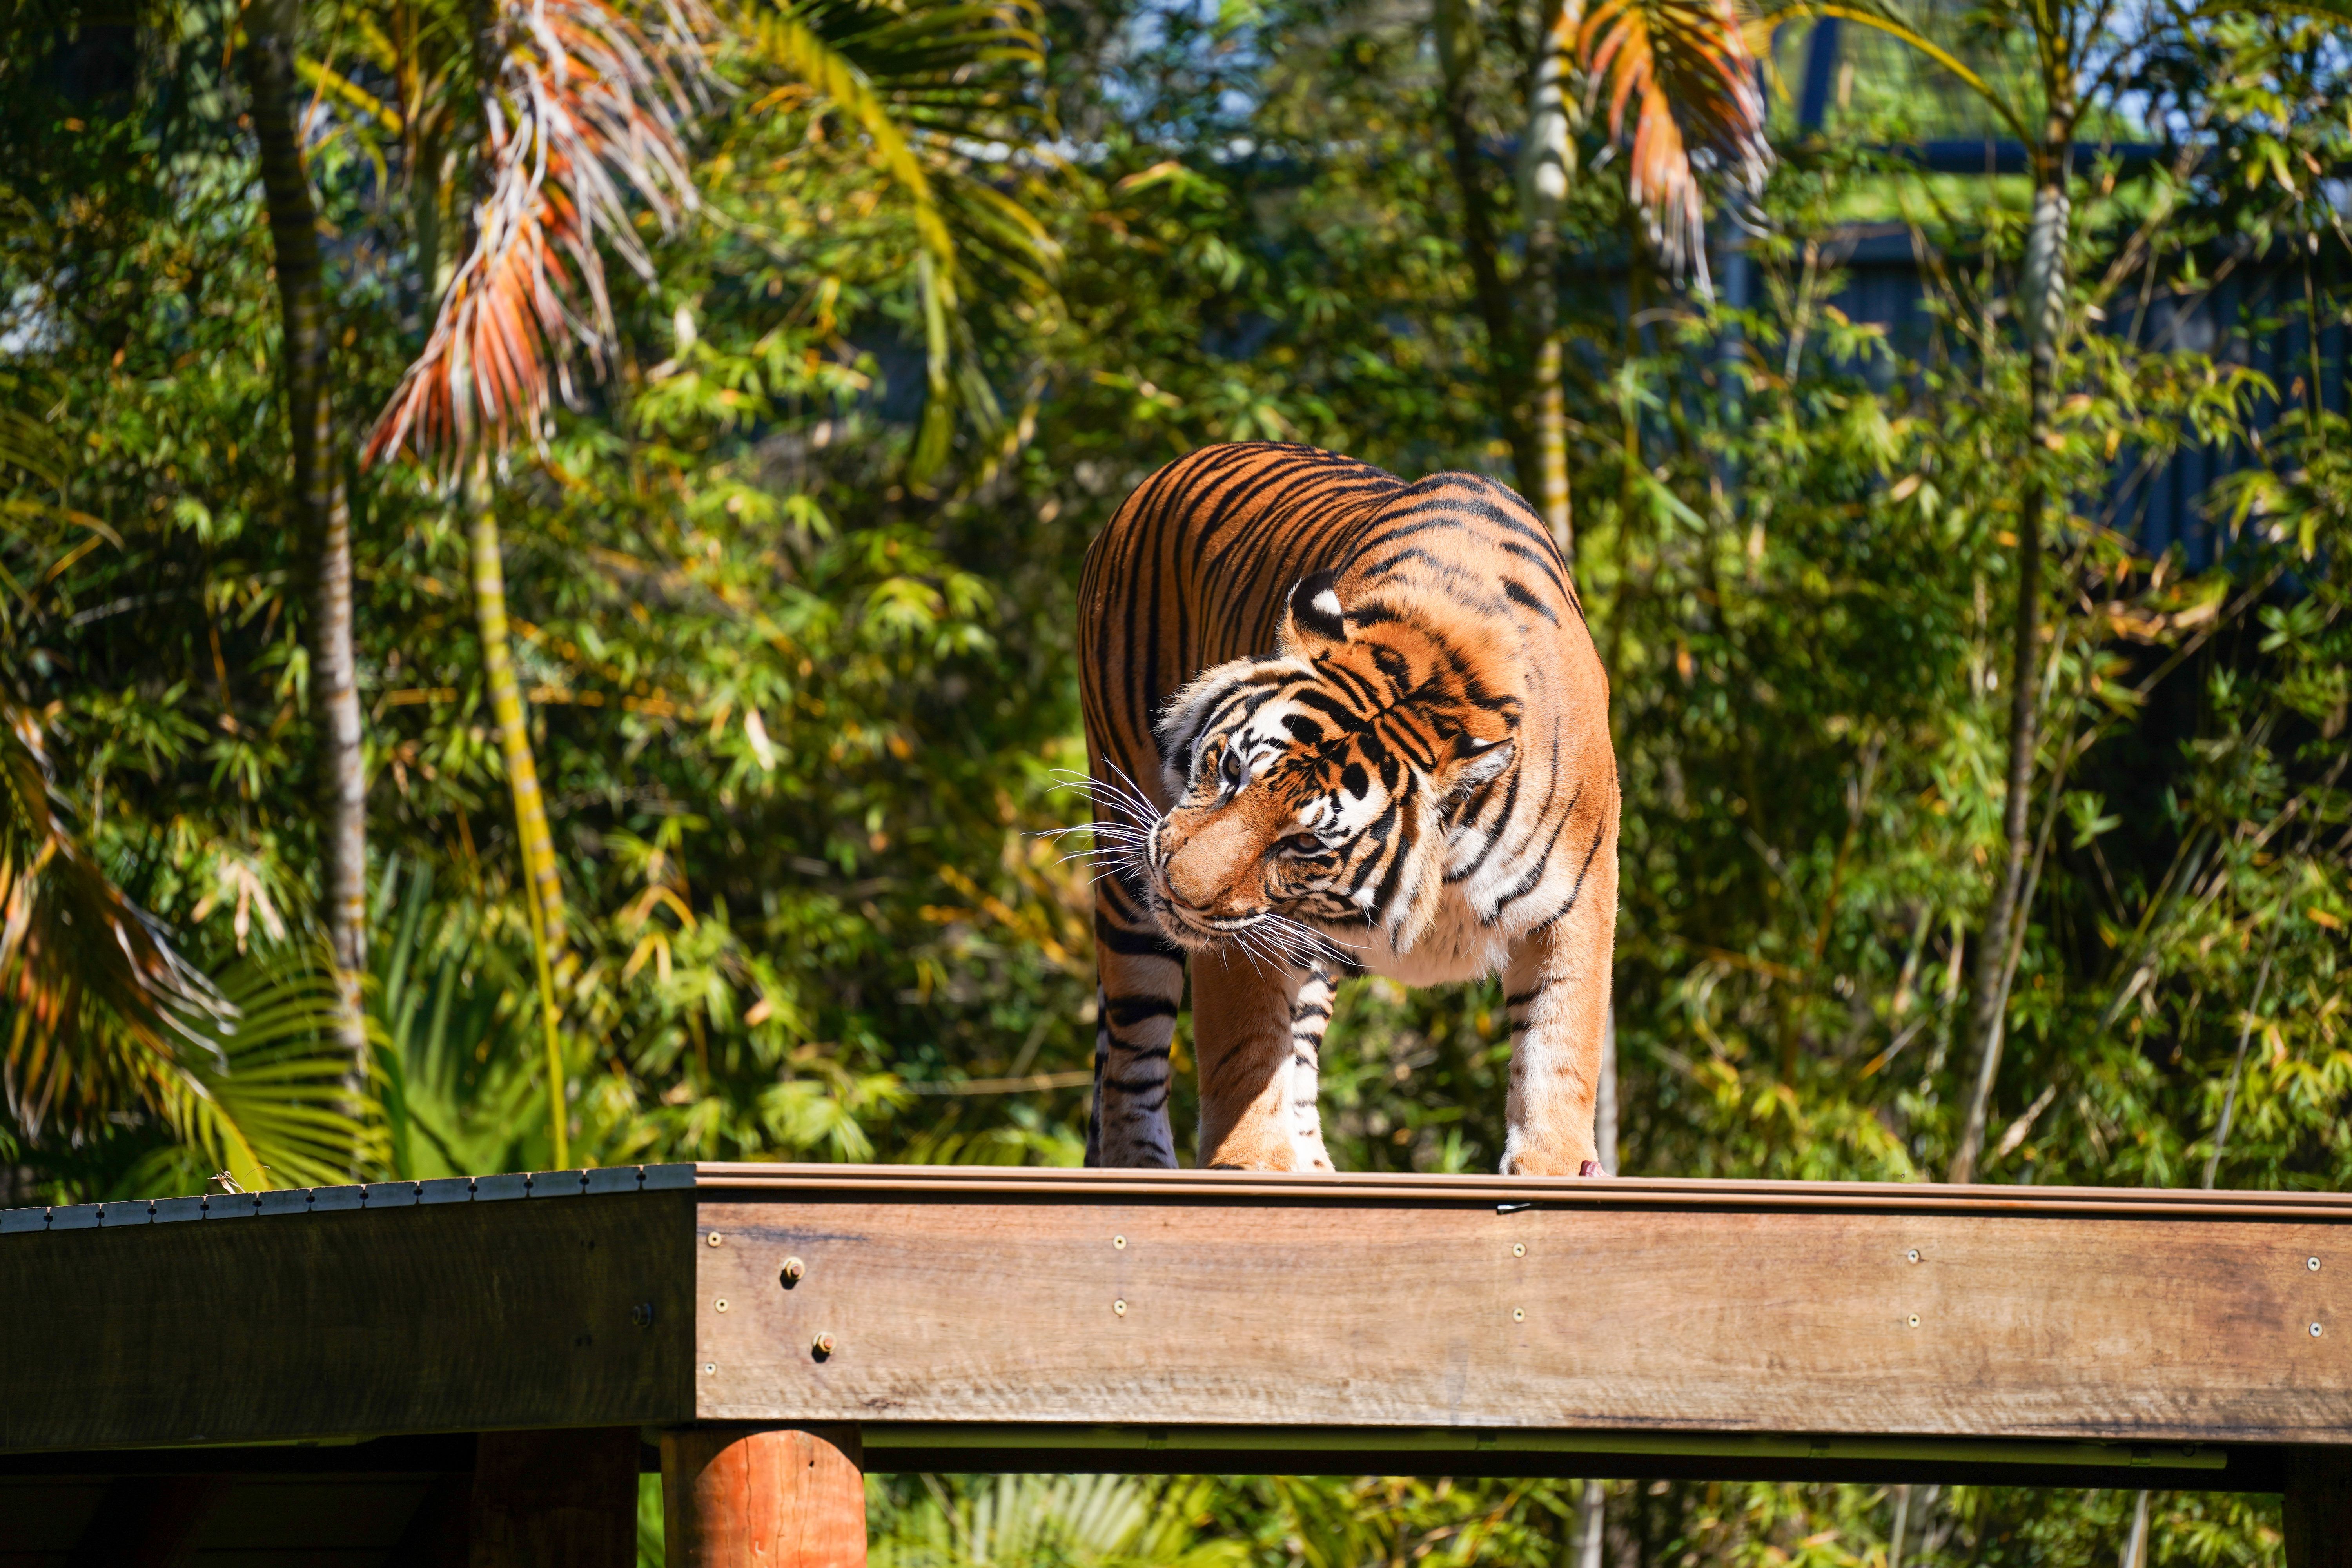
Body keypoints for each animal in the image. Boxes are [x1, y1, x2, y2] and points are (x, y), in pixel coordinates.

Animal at [1077, 441, 1619, 1175]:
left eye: (1305, 844)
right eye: (1230, 769)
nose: (1179, 891)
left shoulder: (1577, 899)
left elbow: (1559, 1045)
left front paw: (1553, 1170)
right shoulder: (1243, 933)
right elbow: (1246, 1049)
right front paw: (1250, 1163)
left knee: (1299, 1050)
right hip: (1127, 851)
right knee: (1132, 1054)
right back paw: (1140, 1167)